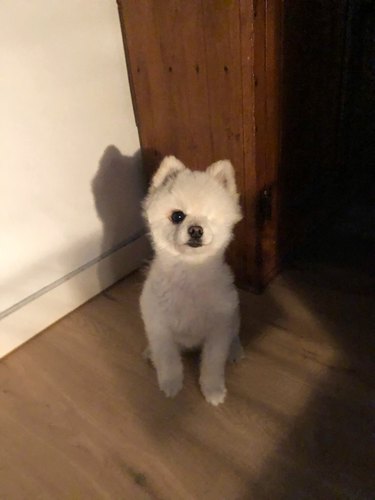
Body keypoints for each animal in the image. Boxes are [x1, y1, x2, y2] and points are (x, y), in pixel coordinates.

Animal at [141, 156, 244, 406]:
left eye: (209, 218)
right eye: (178, 216)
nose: (196, 230)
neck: (189, 271)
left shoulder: (219, 329)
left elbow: (212, 364)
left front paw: (213, 390)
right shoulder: (159, 326)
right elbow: (167, 359)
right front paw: (171, 383)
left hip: (235, 315)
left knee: (235, 333)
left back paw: (235, 350)